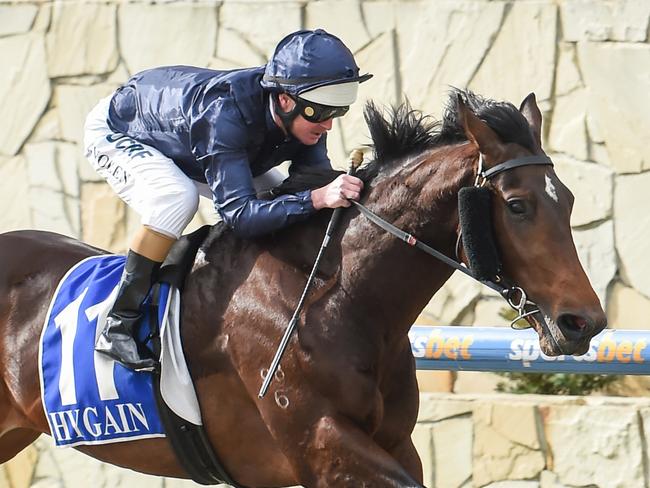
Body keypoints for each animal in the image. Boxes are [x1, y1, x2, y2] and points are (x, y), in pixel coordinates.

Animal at [0, 89, 604, 486]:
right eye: (518, 206)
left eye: (570, 199)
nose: (585, 323)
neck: (337, 297)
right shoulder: (319, 444)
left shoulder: (392, 441)